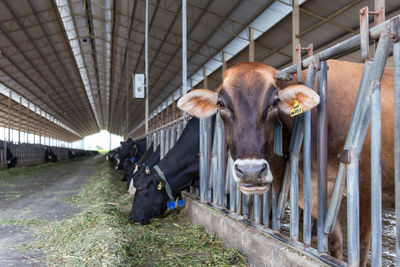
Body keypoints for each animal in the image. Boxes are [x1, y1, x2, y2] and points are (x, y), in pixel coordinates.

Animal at [177, 59, 394, 266]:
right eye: (221, 104)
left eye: (275, 102)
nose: (251, 172)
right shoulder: (321, 196)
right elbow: (335, 242)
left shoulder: (365, 185)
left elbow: (362, 250)